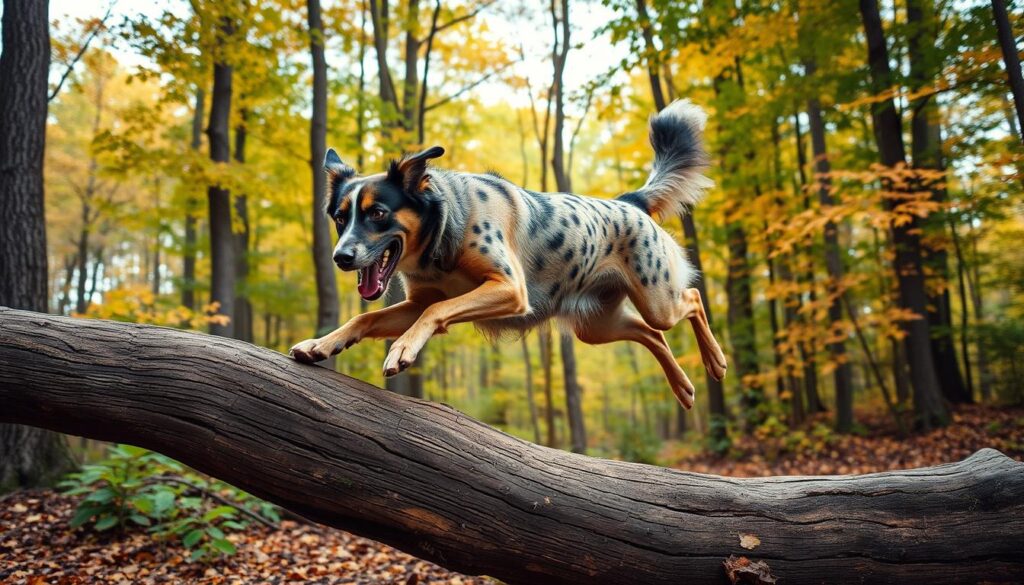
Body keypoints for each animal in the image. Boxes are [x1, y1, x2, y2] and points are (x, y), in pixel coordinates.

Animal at [290, 99, 729, 407]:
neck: (445, 229)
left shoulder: (508, 289)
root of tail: (630, 202)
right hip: (597, 327)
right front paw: (322, 344)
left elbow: (437, 312)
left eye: (378, 213)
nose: (341, 257)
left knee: (691, 299)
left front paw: (402, 349)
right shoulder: (416, 304)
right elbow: (365, 318)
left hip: (657, 299)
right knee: (651, 334)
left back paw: (715, 361)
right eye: (339, 218)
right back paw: (684, 387)